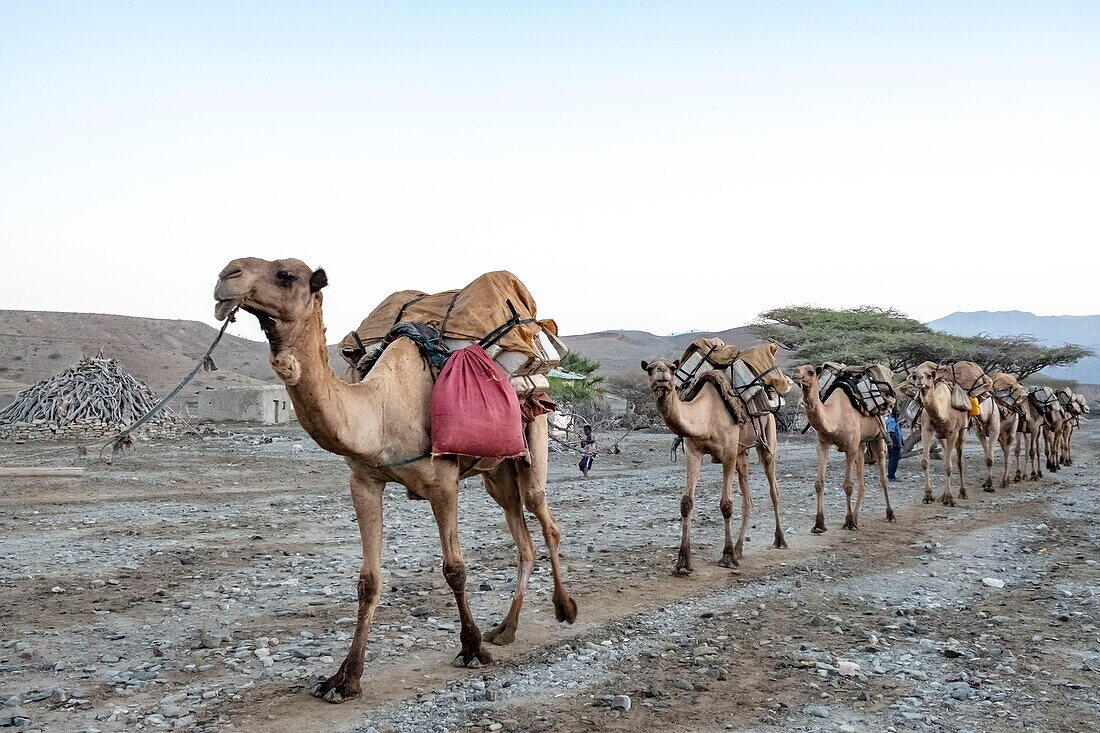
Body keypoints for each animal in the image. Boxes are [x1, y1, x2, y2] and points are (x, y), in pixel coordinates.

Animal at [210, 258, 580, 704]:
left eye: (286, 275)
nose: (226, 277)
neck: (382, 408)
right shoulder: (364, 482)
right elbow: (368, 582)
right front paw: (344, 678)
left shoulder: (444, 484)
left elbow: (455, 569)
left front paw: (471, 649)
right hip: (497, 471)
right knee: (522, 537)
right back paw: (506, 630)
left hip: (535, 434)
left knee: (544, 517)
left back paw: (564, 609)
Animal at [642, 343, 792, 572]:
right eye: (649, 369)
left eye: (672, 368)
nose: (661, 375)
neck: (707, 415)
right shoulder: (693, 452)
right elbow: (686, 502)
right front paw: (683, 561)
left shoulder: (728, 453)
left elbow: (726, 505)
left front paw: (727, 557)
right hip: (742, 452)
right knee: (747, 499)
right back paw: (739, 548)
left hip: (767, 438)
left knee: (773, 489)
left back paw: (779, 540)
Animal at [787, 363, 897, 530]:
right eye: (798, 368)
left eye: (811, 372)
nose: (795, 373)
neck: (835, 416)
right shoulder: (822, 444)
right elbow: (819, 483)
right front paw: (819, 524)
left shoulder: (850, 448)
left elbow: (848, 486)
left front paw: (849, 522)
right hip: (861, 445)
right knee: (862, 481)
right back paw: (856, 518)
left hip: (878, 437)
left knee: (883, 478)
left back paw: (889, 515)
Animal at [906, 358, 968, 501]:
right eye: (915, 375)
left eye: (929, 375)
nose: (919, 380)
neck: (942, 412)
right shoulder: (926, 429)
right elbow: (925, 462)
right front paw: (928, 495)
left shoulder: (952, 432)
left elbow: (949, 466)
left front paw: (949, 498)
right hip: (940, 436)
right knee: (946, 456)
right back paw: (943, 495)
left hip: (962, 430)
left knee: (959, 461)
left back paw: (962, 492)